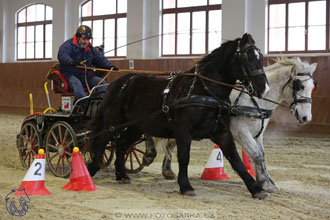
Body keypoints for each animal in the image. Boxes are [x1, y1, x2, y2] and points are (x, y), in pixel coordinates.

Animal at [86, 33, 270, 199]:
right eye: (247, 57)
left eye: (260, 56)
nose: (264, 88)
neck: (203, 90)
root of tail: (117, 83)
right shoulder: (183, 130)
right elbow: (184, 156)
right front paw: (186, 186)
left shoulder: (221, 132)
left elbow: (236, 159)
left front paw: (256, 189)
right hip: (113, 122)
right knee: (101, 141)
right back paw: (92, 168)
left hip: (135, 126)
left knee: (121, 145)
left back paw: (122, 175)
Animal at [144, 57, 318, 193]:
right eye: (299, 86)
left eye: (312, 87)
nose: (306, 117)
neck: (254, 100)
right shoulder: (241, 132)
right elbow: (257, 155)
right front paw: (266, 184)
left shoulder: (258, 134)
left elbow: (261, 156)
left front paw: (265, 180)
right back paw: (148, 154)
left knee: (170, 144)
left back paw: (167, 171)